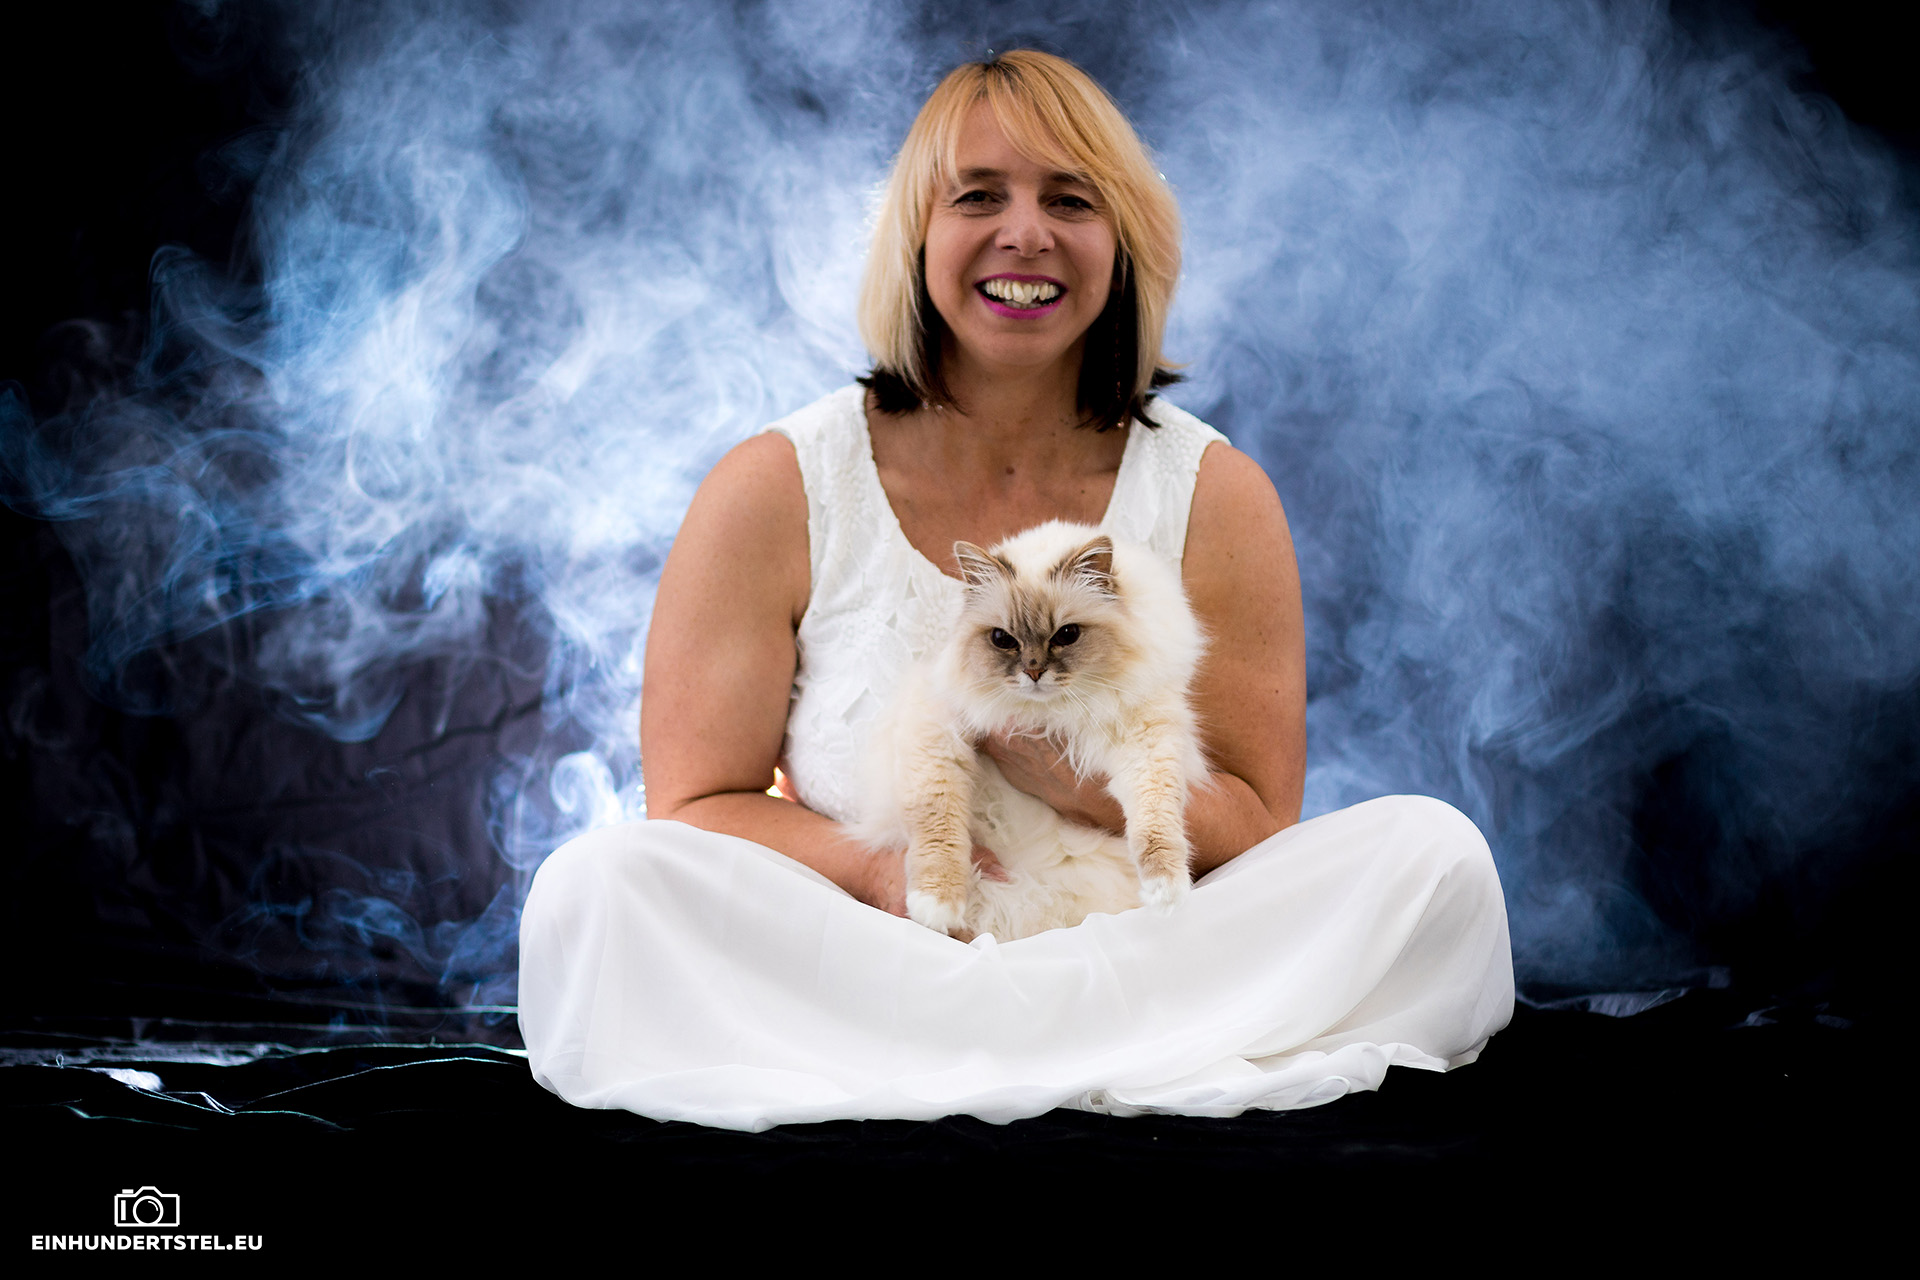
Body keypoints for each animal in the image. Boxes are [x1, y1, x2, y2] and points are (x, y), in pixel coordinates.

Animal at [852, 519, 1208, 940]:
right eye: (1003, 639)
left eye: (1066, 635)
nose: (1034, 671)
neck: (1047, 716)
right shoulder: (939, 728)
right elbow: (937, 822)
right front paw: (935, 905)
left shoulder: (1146, 740)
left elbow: (1156, 820)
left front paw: (1165, 891)